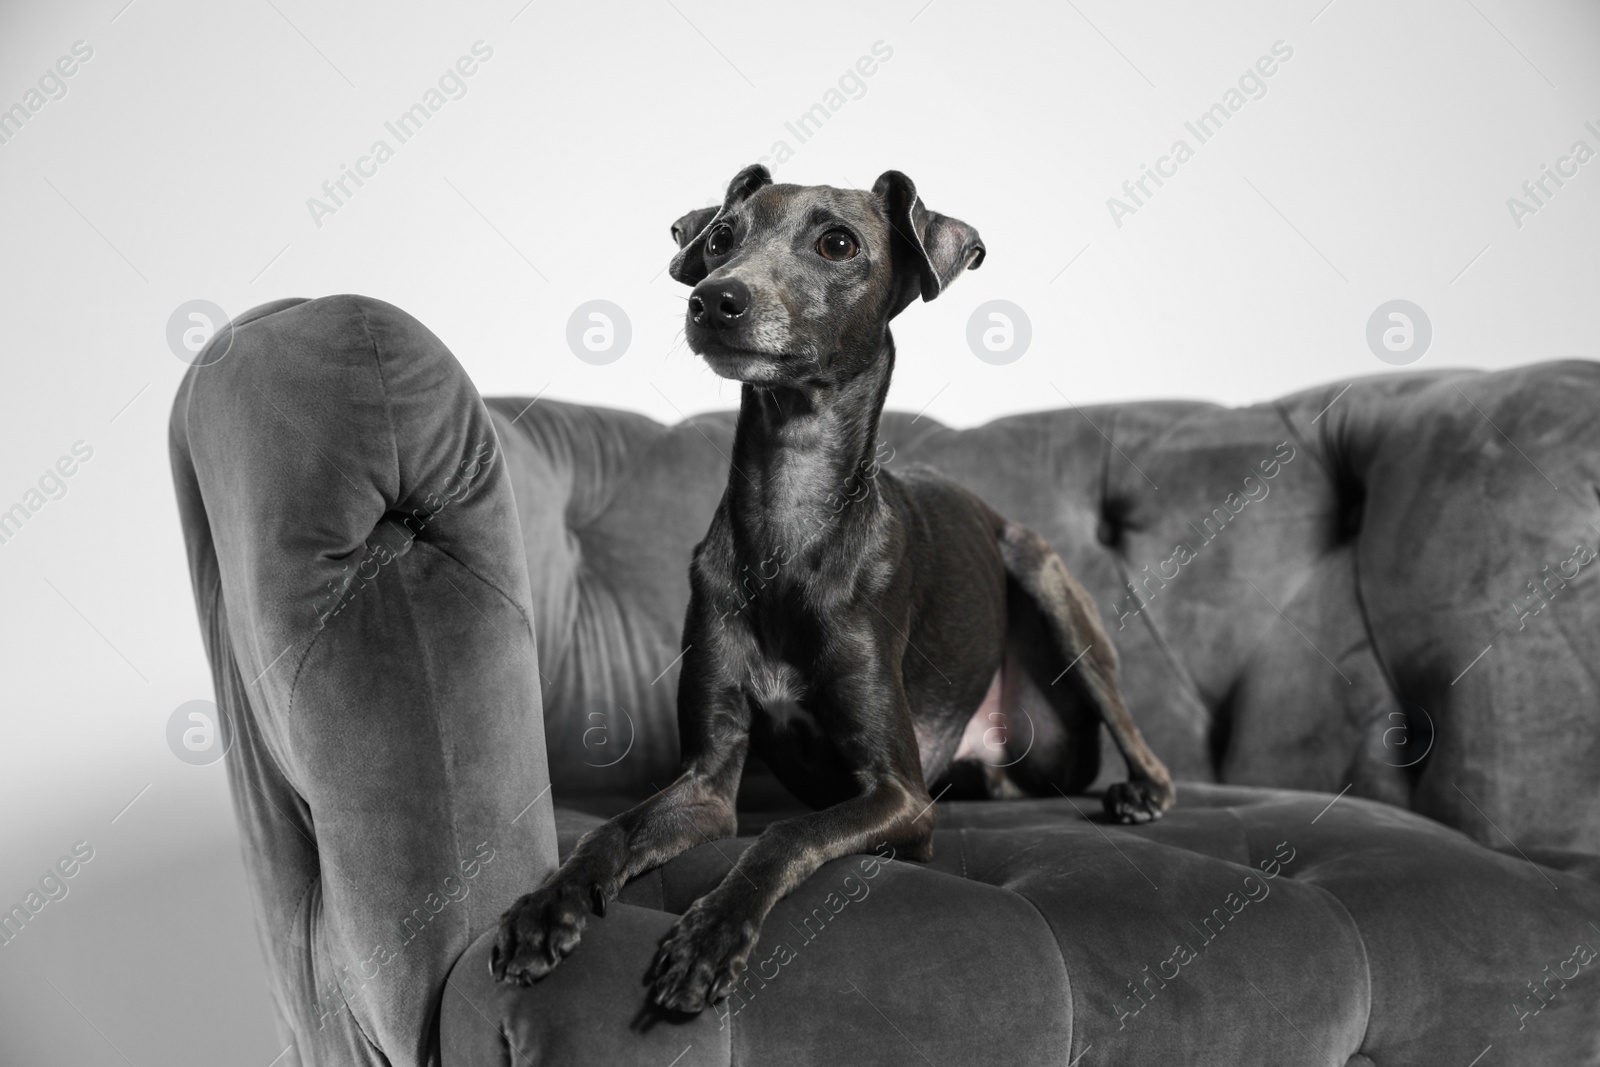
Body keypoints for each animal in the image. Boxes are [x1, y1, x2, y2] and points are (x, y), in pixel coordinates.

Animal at [489, 164, 1177, 1011]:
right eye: (721, 235)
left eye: (838, 244)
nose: (714, 298)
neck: (792, 511)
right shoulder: (707, 780)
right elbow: (607, 829)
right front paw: (545, 906)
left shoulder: (901, 795)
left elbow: (786, 833)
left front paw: (711, 935)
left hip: (1041, 573)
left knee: (1134, 733)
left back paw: (1140, 794)